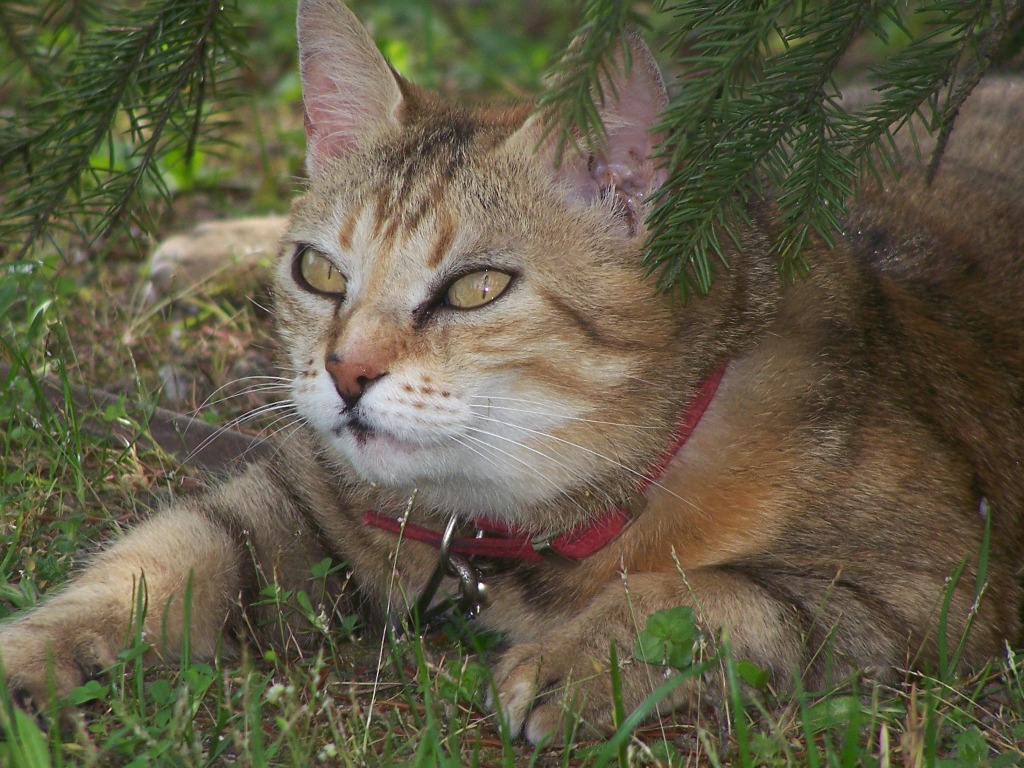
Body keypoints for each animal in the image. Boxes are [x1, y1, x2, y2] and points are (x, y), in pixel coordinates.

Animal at [2, 0, 1024, 749]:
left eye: (476, 289)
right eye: (320, 273)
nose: (344, 372)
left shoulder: (937, 590)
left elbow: (729, 594)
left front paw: (589, 656)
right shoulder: (302, 499)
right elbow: (157, 561)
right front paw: (33, 656)